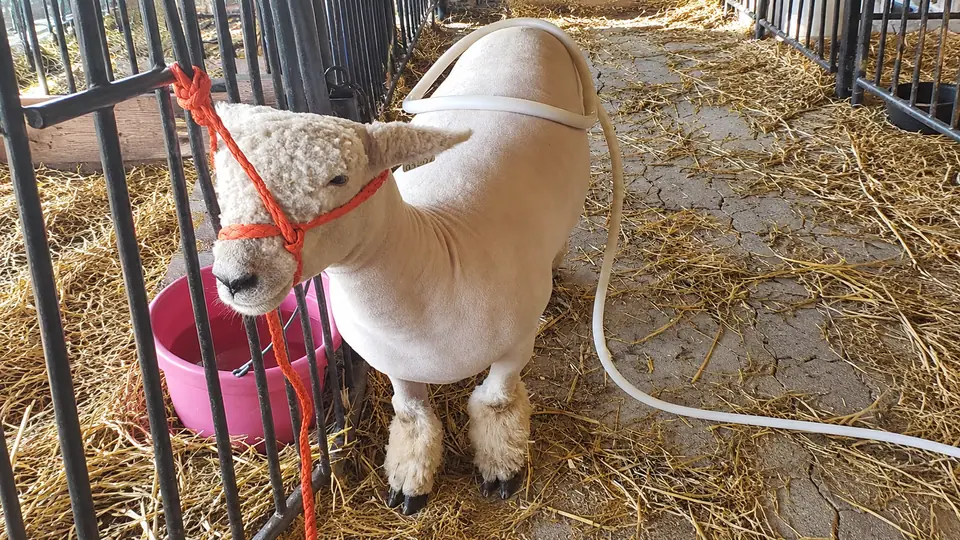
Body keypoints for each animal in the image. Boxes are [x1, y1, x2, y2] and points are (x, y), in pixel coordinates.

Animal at [210, 25, 590, 514]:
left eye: (338, 178)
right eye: (222, 178)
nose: (234, 279)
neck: (437, 261)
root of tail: (524, 26)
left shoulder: (516, 343)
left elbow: (498, 401)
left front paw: (502, 468)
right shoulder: (394, 360)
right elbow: (411, 416)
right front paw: (409, 483)